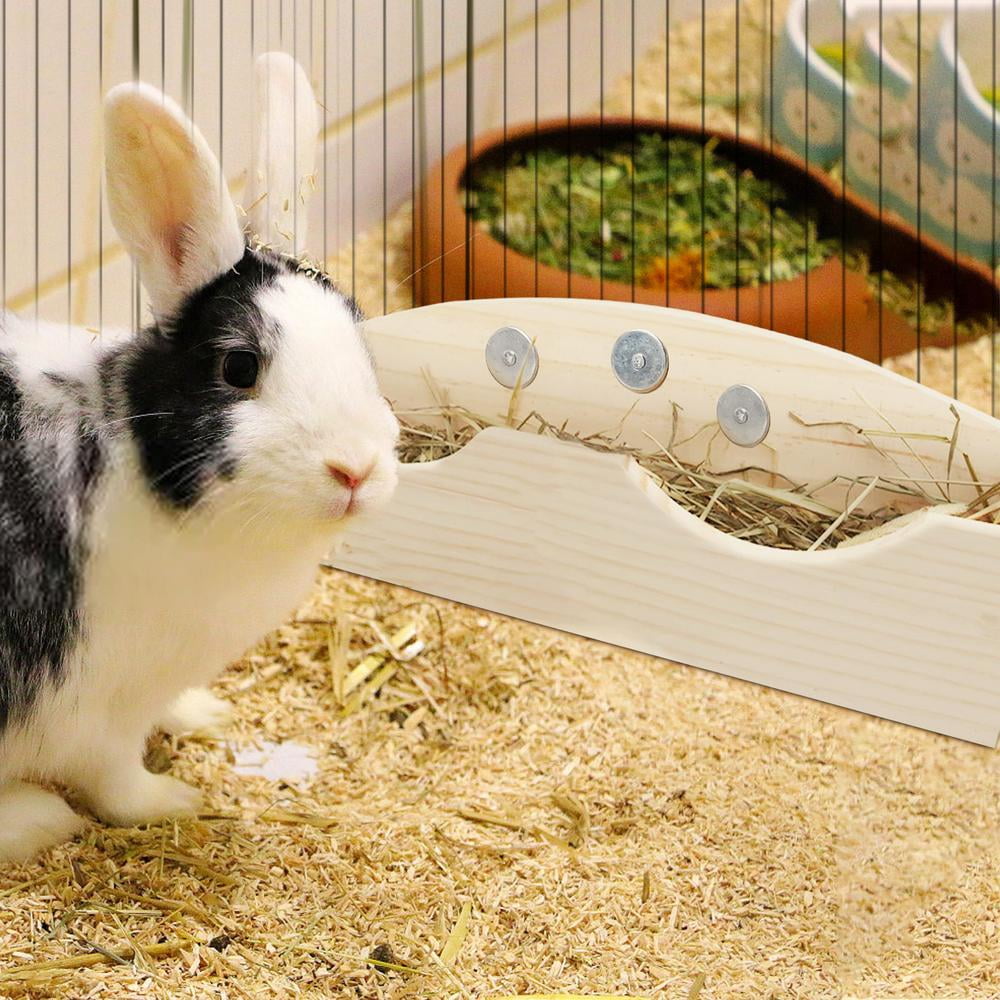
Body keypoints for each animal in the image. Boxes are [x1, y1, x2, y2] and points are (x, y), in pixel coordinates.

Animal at [0, 51, 399, 863]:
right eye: (239, 367)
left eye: (362, 342)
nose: (356, 470)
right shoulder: (90, 703)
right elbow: (116, 780)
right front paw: (176, 801)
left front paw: (202, 716)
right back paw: (37, 818)